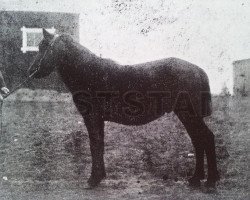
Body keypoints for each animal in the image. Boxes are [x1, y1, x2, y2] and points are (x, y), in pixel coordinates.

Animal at [28, 28, 219, 188]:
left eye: (43, 46)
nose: (31, 71)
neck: (90, 73)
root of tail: (198, 70)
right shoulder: (98, 120)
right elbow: (99, 145)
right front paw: (99, 176)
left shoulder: (92, 118)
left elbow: (94, 145)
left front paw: (93, 179)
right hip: (187, 116)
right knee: (198, 140)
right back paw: (196, 179)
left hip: (190, 115)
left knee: (206, 138)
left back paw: (210, 181)